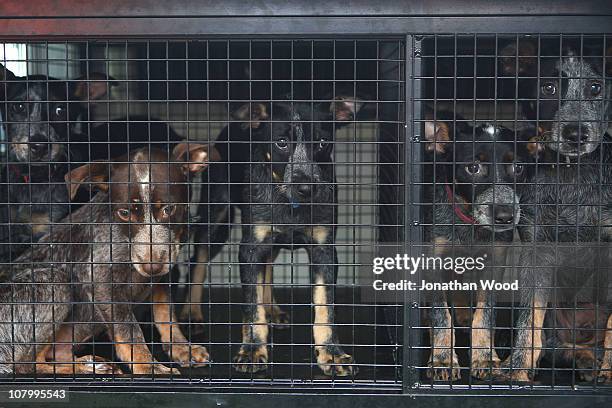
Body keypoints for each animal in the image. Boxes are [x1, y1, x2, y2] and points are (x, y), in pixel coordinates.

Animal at [424, 112, 528, 382]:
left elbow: (486, 313)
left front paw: (485, 357)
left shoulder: (495, 262)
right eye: (473, 167)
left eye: (518, 167)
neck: (469, 223)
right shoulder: (433, 260)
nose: (505, 217)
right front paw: (442, 359)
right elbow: (440, 314)